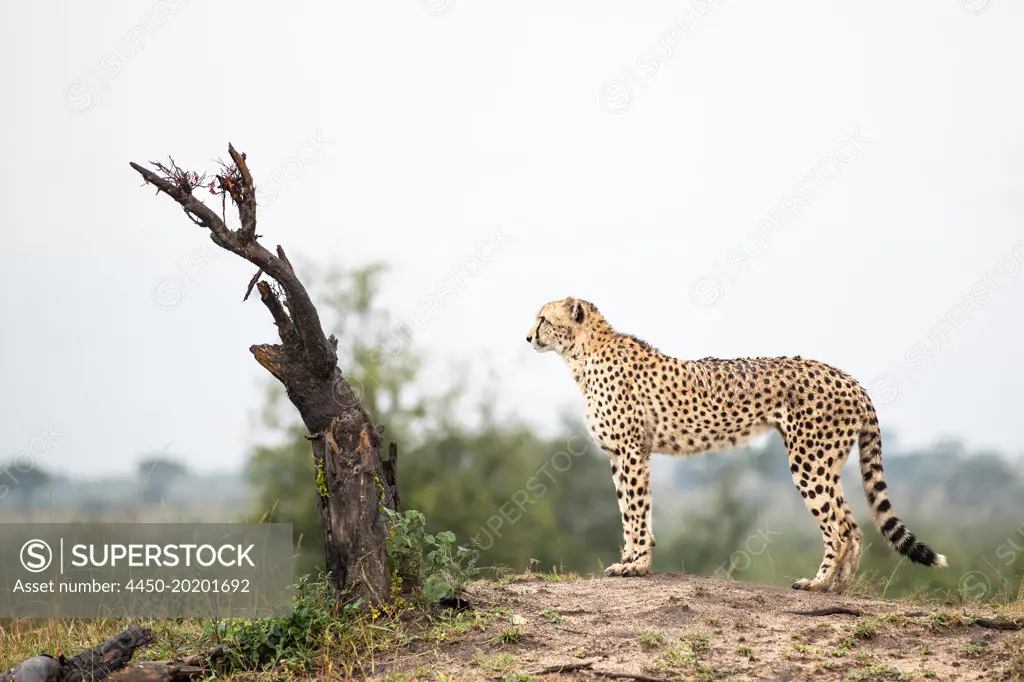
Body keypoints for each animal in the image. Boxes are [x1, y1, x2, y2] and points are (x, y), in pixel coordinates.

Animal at [532, 296, 946, 589]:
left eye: (542, 319)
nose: (528, 337)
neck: (584, 353)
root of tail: (848, 377)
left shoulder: (632, 452)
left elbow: (635, 511)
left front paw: (635, 565)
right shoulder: (622, 454)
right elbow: (631, 513)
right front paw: (634, 560)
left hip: (809, 462)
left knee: (840, 528)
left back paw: (818, 583)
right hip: (826, 462)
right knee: (853, 525)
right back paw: (840, 587)